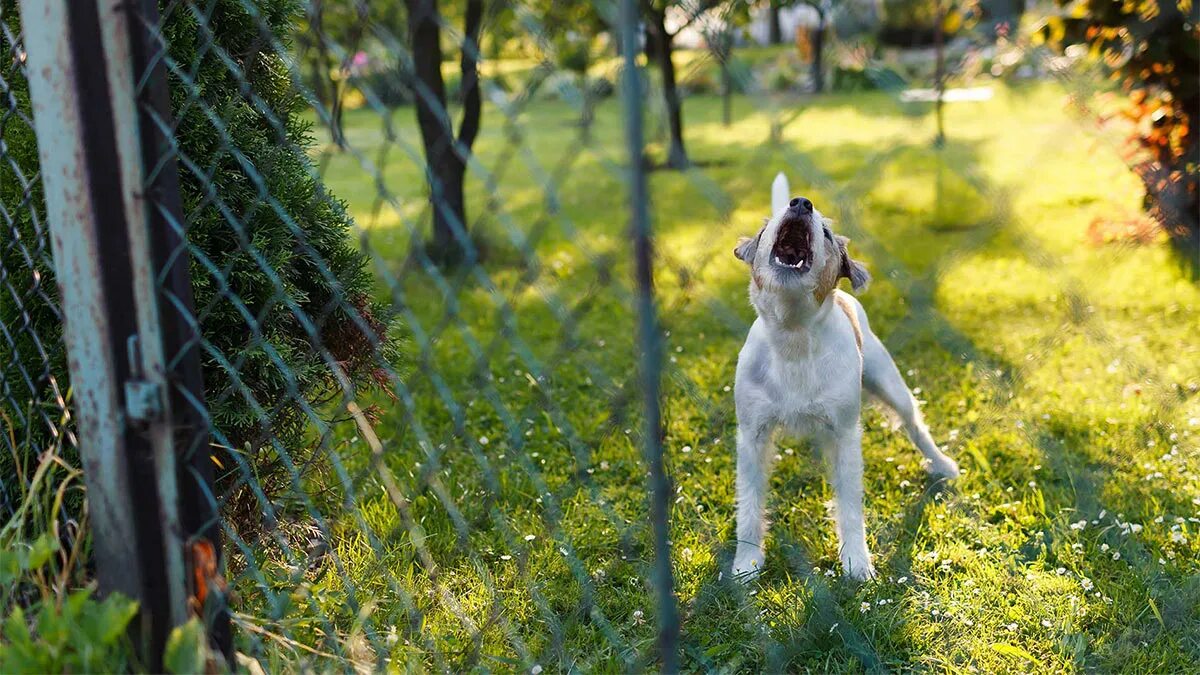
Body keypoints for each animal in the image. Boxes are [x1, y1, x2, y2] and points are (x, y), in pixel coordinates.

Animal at [724, 171, 960, 578]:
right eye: (767, 227)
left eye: (828, 234)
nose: (801, 203)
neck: (794, 336)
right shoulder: (752, 436)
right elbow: (750, 505)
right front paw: (747, 564)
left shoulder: (845, 434)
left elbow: (850, 504)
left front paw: (856, 563)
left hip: (892, 387)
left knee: (915, 425)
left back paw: (942, 464)